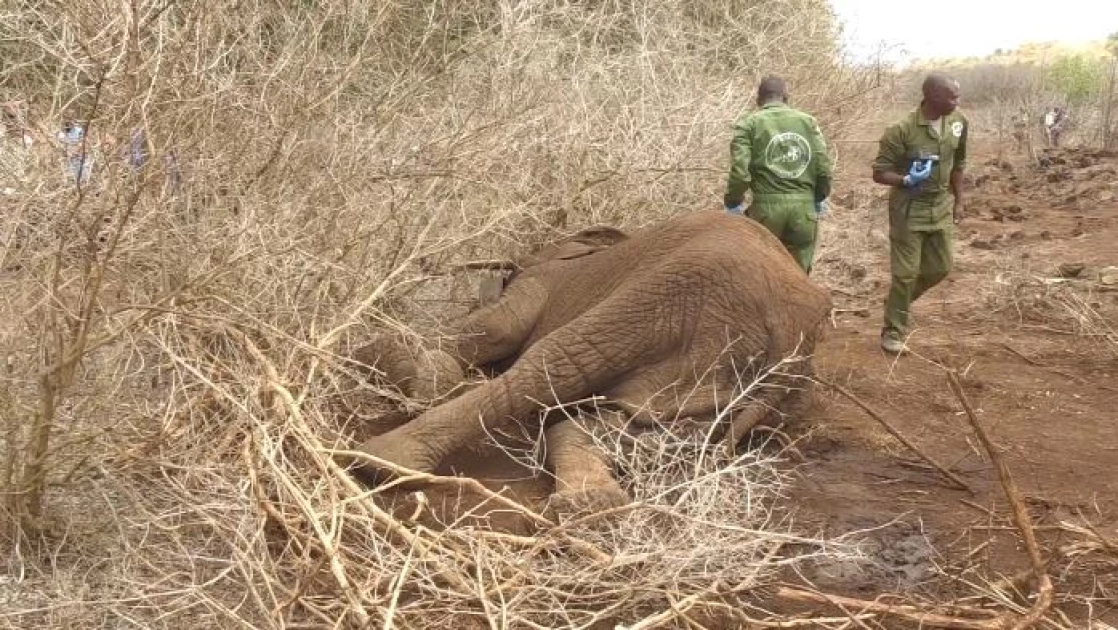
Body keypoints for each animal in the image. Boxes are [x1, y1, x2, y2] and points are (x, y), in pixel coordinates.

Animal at [348, 208, 831, 513]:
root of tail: (794, 329)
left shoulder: (544, 280)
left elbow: (497, 328)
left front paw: (398, 367)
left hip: (671, 293)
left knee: (557, 359)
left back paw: (381, 462)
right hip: (741, 379)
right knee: (650, 432)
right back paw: (592, 505)